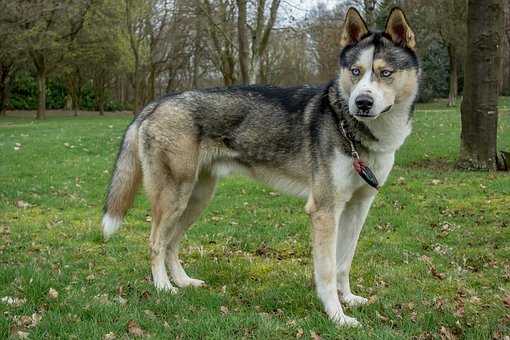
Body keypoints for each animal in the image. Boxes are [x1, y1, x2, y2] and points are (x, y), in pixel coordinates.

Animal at [100, 7, 418, 326]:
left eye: (385, 73)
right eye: (356, 72)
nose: (362, 102)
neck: (350, 128)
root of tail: (155, 104)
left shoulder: (358, 208)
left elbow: (344, 262)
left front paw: (349, 299)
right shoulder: (325, 211)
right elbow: (327, 271)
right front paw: (337, 316)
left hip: (196, 200)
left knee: (171, 243)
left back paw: (184, 281)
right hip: (174, 199)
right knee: (155, 242)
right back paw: (164, 287)